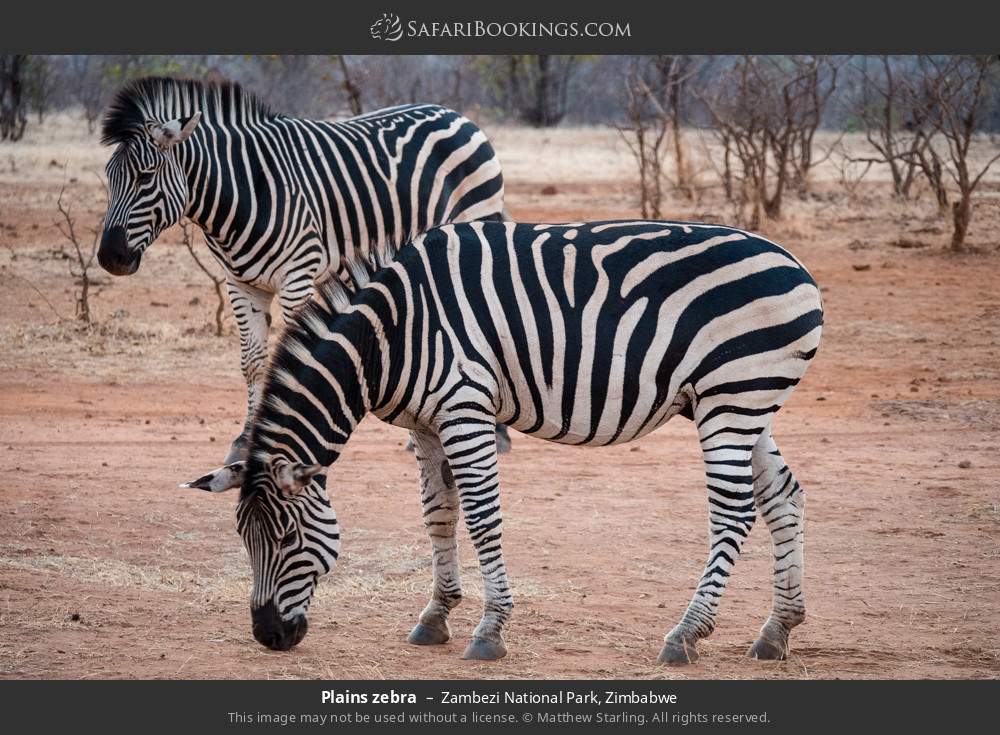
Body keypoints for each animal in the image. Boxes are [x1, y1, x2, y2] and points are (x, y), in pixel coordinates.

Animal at [97, 77, 509, 463]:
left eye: (146, 176)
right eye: (109, 176)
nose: (109, 257)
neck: (245, 190)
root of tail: (453, 114)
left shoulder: (298, 274)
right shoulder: (241, 283)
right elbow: (253, 363)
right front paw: (244, 441)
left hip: (477, 215)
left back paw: (498, 433)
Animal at [185, 219, 823, 664]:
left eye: (287, 538)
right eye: (243, 538)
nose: (269, 636)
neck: (389, 336)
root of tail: (796, 265)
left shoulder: (466, 408)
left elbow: (482, 517)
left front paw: (490, 630)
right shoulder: (424, 424)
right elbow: (439, 514)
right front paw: (435, 617)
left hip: (732, 398)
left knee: (733, 511)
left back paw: (686, 635)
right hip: (744, 402)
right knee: (783, 498)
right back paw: (777, 631)